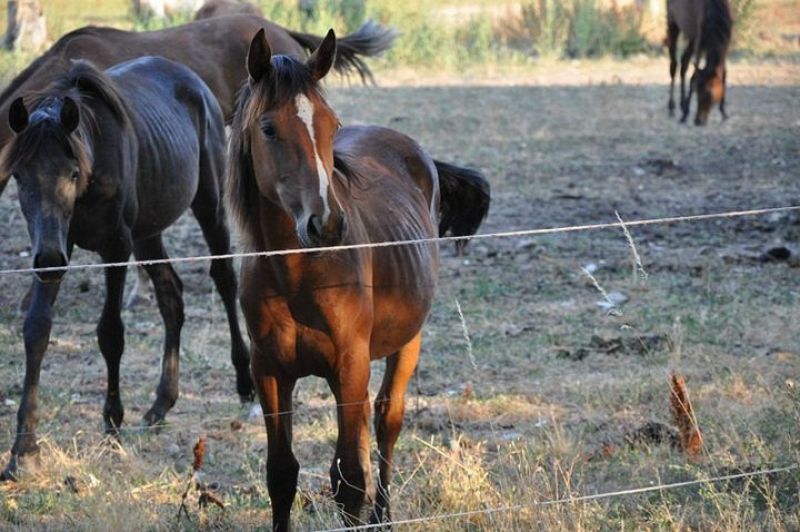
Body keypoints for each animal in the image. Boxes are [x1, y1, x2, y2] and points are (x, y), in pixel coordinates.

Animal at [228, 30, 490, 532]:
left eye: (332, 124)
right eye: (268, 129)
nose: (326, 223)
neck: (297, 273)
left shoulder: (349, 367)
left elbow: (349, 479)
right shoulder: (269, 371)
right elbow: (281, 474)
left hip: (406, 342)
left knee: (387, 421)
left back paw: (384, 514)